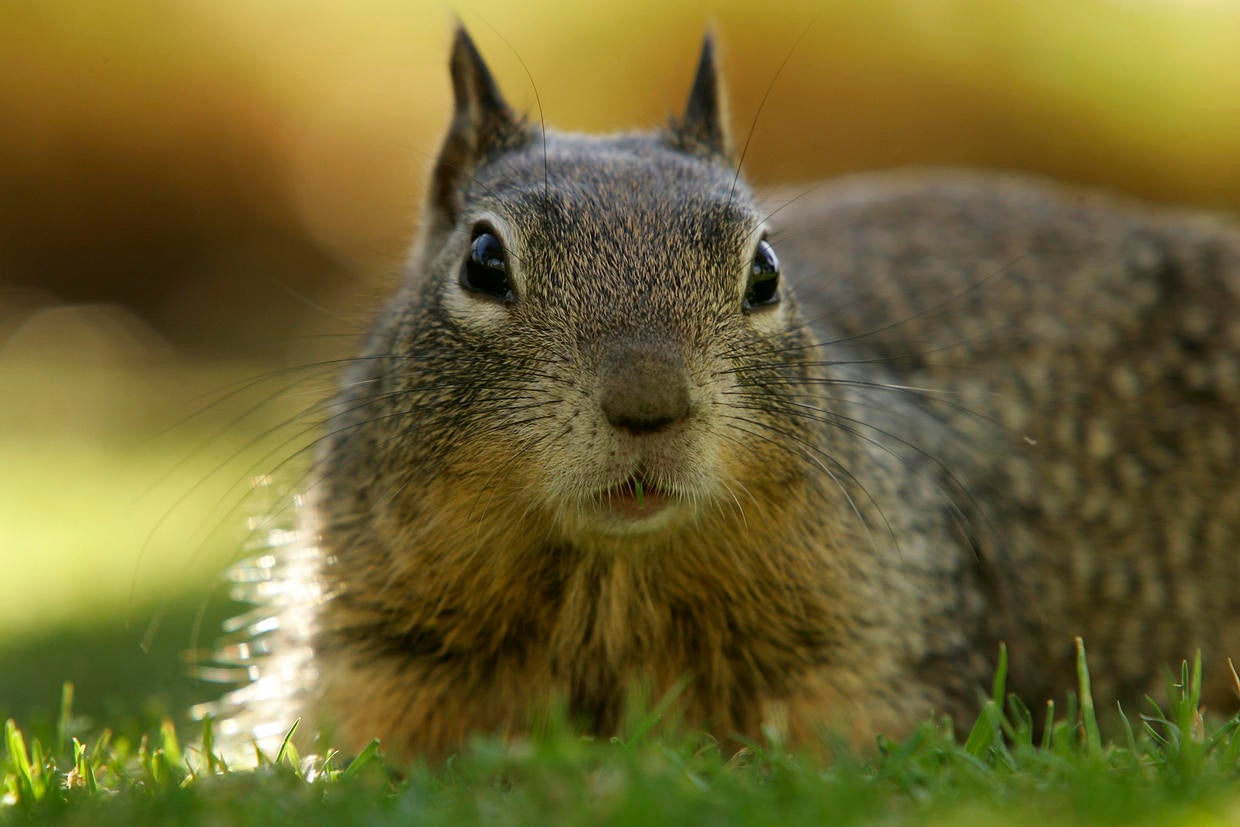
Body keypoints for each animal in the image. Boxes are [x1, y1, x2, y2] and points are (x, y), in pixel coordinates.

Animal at [197, 28, 1240, 762]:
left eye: (766, 270)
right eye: (484, 260)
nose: (648, 404)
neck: (608, 586)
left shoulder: (872, 659)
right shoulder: (366, 659)